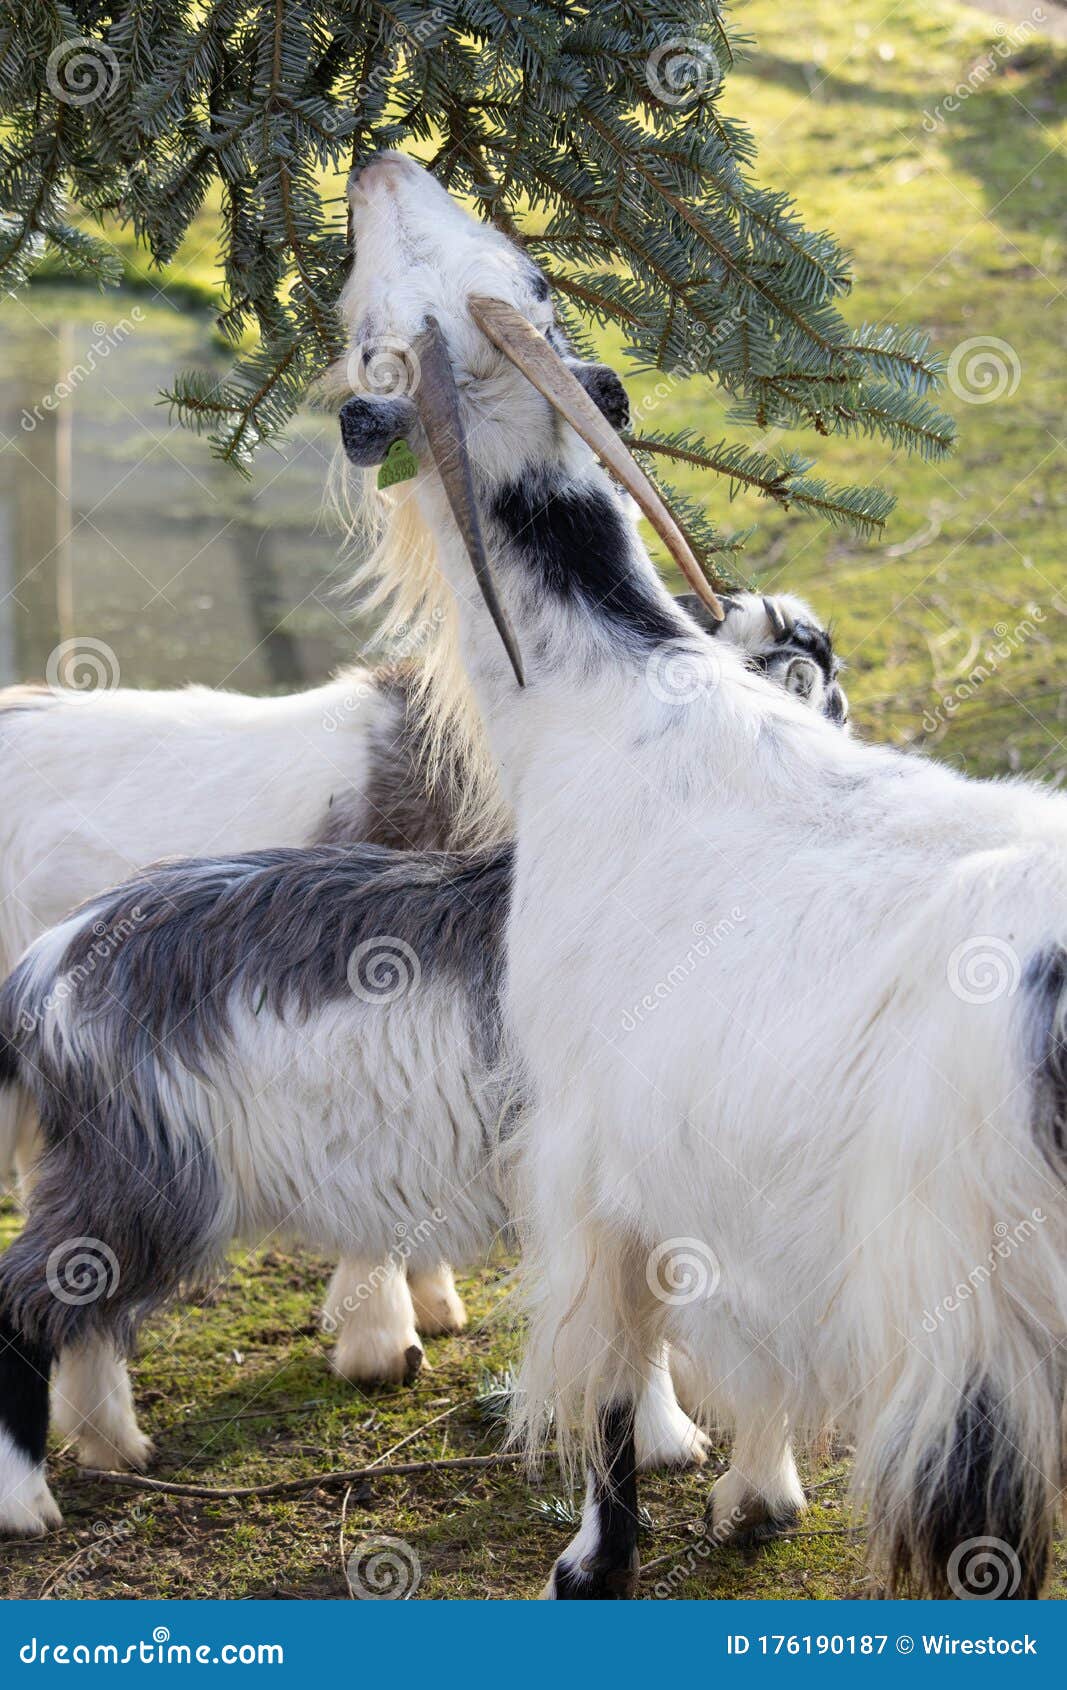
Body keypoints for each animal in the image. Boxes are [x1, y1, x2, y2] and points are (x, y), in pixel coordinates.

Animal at [320, 153, 1067, 1601]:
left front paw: (587, 1563)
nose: (378, 165)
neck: (603, 708)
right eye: (531, 273)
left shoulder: (586, 1147)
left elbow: (613, 1383)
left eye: (383, 328)